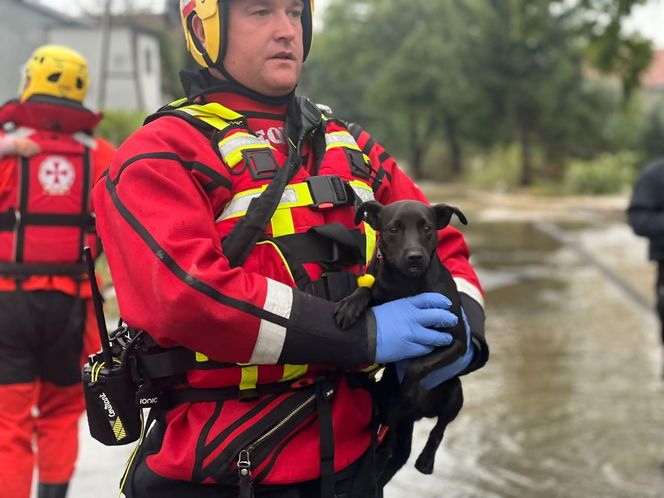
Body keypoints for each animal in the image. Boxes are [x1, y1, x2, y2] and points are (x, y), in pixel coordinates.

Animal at [334, 198, 470, 474]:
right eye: (393, 229)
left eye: (427, 228)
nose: (414, 256)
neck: (407, 283)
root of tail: (418, 415)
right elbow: (367, 290)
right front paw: (350, 304)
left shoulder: (459, 343)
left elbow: (418, 365)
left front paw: (407, 388)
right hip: (382, 399)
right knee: (388, 427)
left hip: (455, 394)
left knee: (438, 430)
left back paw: (425, 461)